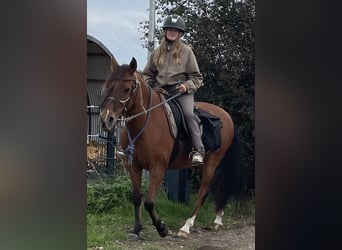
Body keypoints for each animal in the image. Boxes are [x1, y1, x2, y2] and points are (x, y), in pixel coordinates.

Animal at [99, 57, 246, 238]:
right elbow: (137, 197)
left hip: (212, 162)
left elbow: (149, 202)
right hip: (201, 164)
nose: (106, 119)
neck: (146, 122)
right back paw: (217, 219)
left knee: (204, 190)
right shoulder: (133, 166)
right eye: (108, 86)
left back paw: (186, 226)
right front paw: (137, 228)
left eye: (126, 89)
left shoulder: (158, 168)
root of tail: (226, 115)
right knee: (214, 188)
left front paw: (162, 228)